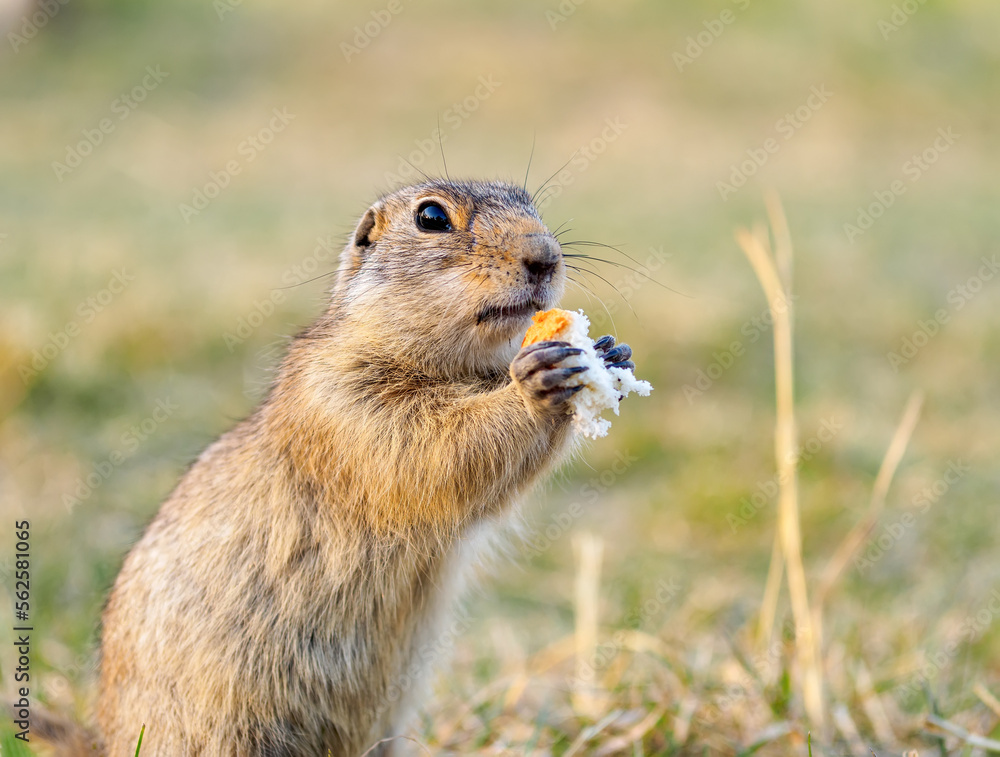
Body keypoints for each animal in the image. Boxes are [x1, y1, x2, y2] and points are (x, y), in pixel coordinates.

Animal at [43, 176, 632, 752]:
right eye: (431, 217)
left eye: (528, 200)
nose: (546, 256)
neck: (455, 367)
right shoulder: (342, 398)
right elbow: (429, 450)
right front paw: (536, 381)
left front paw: (611, 350)